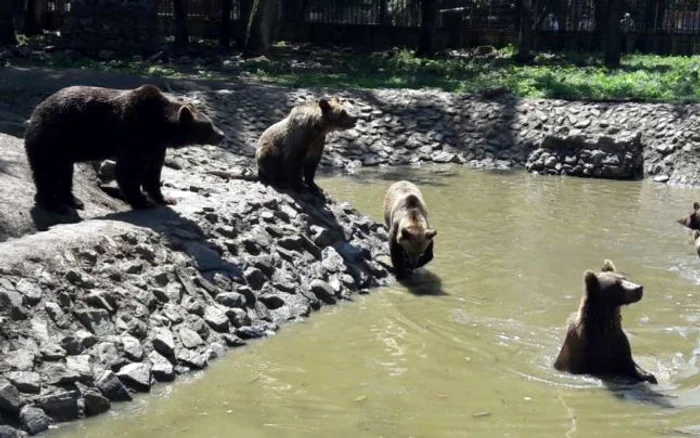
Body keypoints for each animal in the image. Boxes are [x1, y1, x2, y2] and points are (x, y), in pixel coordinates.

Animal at [23, 84, 224, 213]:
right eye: (208, 125)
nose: (221, 135)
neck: (160, 128)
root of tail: (35, 112)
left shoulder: (156, 147)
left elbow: (153, 173)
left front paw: (166, 198)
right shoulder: (134, 135)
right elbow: (128, 170)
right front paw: (142, 201)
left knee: (64, 172)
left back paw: (73, 199)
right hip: (53, 138)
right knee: (47, 171)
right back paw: (55, 204)